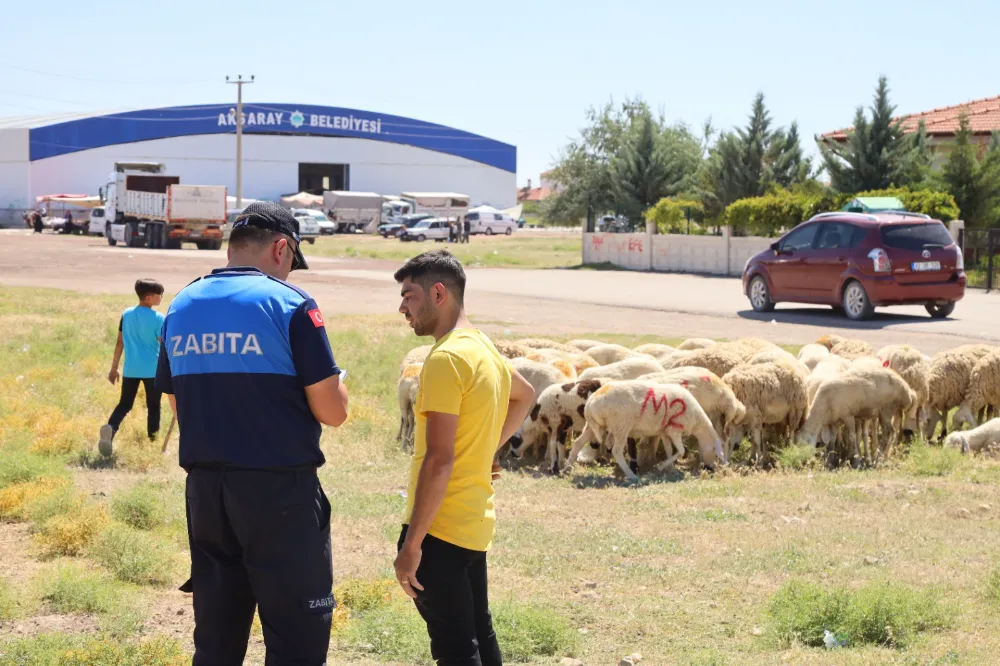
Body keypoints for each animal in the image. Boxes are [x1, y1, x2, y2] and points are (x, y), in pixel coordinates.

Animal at [568, 378, 724, 482]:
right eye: (716, 453)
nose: (711, 469)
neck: (697, 420)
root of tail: (591, 402)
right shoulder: (674, 430)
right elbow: (681, 451)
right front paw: (661, 466)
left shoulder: (664, 432)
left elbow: (669, 450)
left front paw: (670, 469)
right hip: (621, 426)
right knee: (617, 451)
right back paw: (632, 476)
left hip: (594, 426)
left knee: (577, 443)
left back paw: (567, 468)